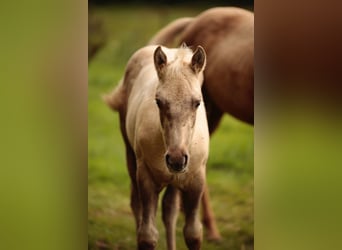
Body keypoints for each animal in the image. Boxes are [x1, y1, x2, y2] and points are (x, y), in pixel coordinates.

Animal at [105, 45, 208, 250]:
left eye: (197, 102)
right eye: (159, 101)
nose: (176, 159)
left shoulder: (196, 179)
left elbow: (193, 234)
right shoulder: (146, 177)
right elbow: (147, 236)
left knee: (170, 211)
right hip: (131, 157)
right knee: (136, 203)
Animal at [150, 6, 254, 241]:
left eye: (196, 102)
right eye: (158, 102)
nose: (175, 159)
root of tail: (195, 20)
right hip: (213, 112)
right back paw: (211, 230)